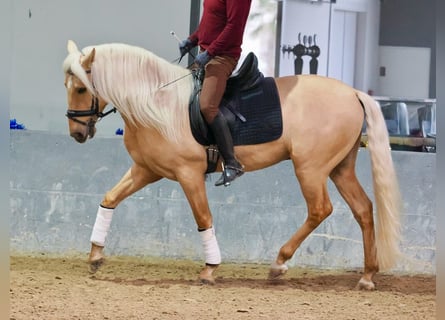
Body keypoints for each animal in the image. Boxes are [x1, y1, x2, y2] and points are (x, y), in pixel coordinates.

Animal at [61, 40, 398, 290]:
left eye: (81, 88)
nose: (76, 133)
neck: (157, 102)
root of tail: (352, 92)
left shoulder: (188, 174)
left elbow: (203, 218)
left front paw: (210, 269)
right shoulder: (147, 170)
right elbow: (110, 198)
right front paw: (95, 256)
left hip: (310, 168)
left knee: (320, 209)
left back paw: (278, 264)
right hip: (340, 168)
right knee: (363, 209)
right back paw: (367, 276)